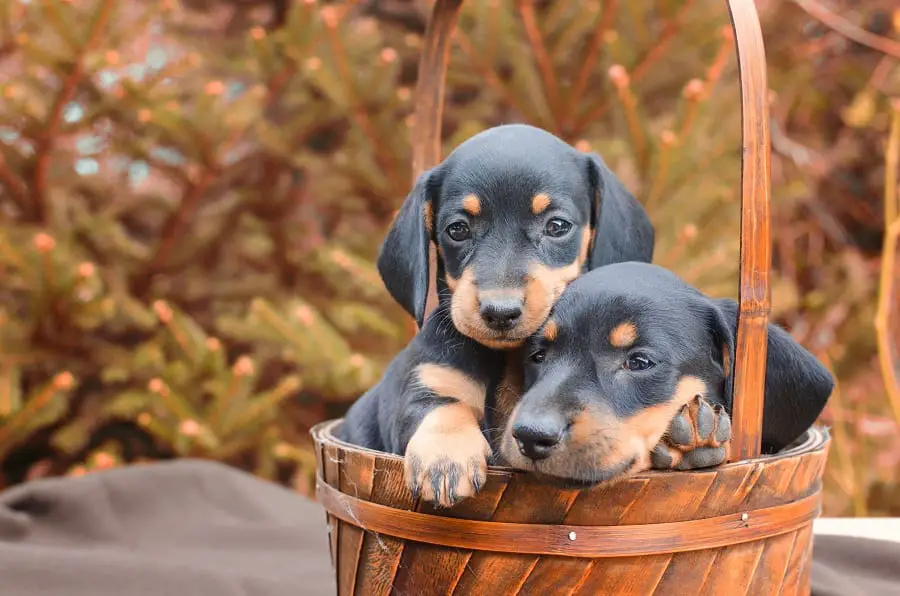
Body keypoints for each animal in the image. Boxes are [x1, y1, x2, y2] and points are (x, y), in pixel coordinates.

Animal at [338, 123, 652, 506]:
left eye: (557, 226)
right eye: (457, 229)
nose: (500, 313)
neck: (505, 359)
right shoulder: (426, 383)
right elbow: (442, 407)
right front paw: (445, 456)